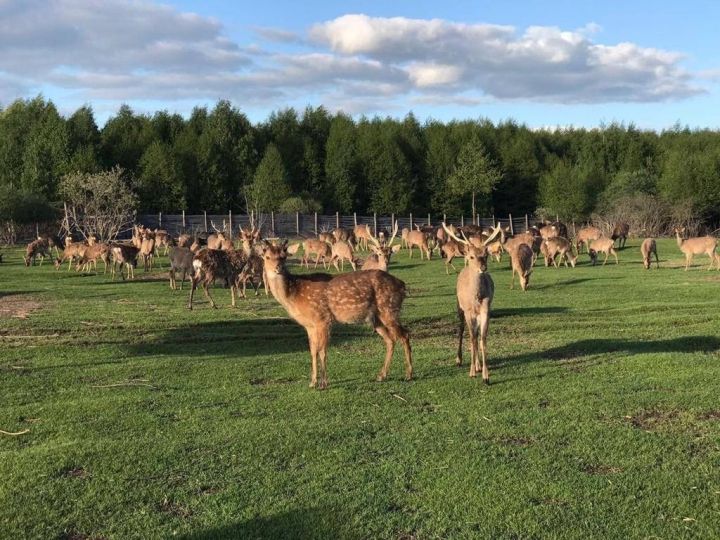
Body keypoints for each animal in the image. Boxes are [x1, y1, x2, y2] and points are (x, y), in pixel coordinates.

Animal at [262, 240, 414, 388]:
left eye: (284, 256)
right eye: (267, 256)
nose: (278, 268)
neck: (294, 294)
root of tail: (402, 285)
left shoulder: (323, 318)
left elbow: (322, 351)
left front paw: (323, 383)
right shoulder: (309, 325)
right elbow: (312, 351)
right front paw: (312, 382)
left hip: (389, 309)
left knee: (405, 335)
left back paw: (408, 374)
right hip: (376, 318)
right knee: (390, 340)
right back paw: (381, 375)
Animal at [438, 221, 500, 382]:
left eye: (485, 255)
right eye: (472, 257)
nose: (483, 267)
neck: (476, 297)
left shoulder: (486, 309)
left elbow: (482, 337)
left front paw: (485, 375)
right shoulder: (468, 311)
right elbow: (471, 337)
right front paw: (471, 371)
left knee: (477, 334)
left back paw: (478, 365)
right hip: (459, 307)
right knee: (461, 329)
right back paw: (459, 360)